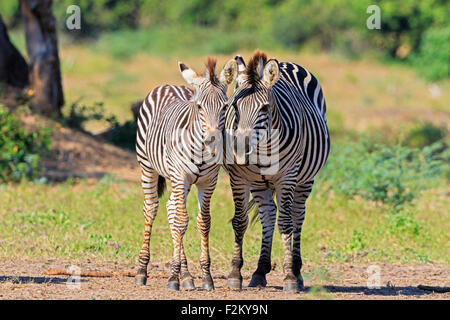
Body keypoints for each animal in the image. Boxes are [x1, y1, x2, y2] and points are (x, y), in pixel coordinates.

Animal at [134, 57, 237, 290]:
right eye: (199, 107)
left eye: (225, 107)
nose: (213, 140)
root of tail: (167, 85)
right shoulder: (180, 176)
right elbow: (182, 222)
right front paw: (173, 279)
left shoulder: (208, 181)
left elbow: (203, 222)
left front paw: (205, 277)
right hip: (148, 167)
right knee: (151, 209)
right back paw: (142, 271)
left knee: (172, 208)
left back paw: (187, 275)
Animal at [222, 50, 330, 292]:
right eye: (234, 107)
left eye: (264, 108)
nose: (239, 147)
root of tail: (286, 63)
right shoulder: (239, 177)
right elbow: (240, 221)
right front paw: (235, 274)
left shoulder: (287, 177)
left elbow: (286, 224)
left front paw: (289, 277)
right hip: (259, 183)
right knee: (269, 215)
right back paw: (260, 271)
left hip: (305, 180)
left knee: (297, 216)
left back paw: (297, 272)